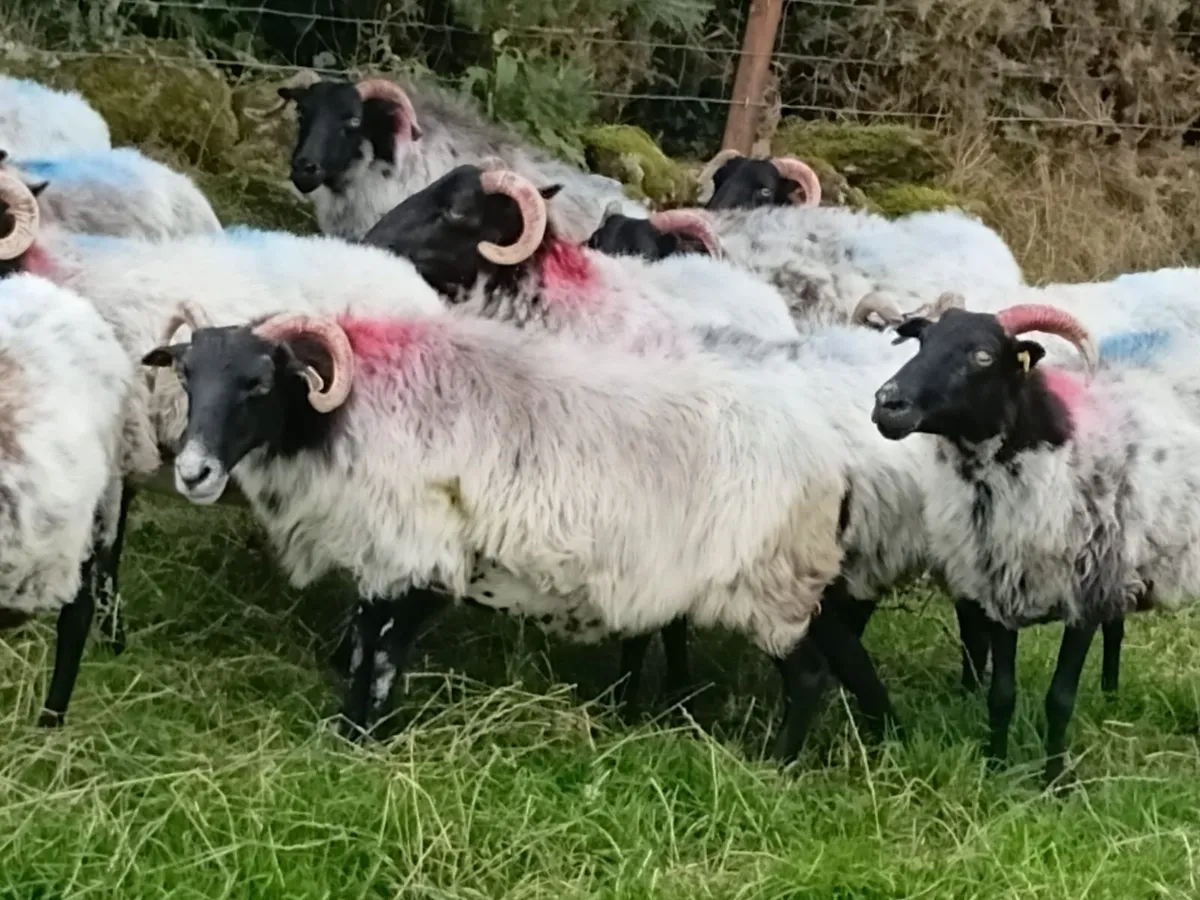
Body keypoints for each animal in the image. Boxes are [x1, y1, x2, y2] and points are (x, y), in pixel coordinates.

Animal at [144, 302, 933, 757]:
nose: (192, 471)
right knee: (840, 653)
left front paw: (363, 741)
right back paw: (882, 735)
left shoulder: (424, 555)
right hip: (799, 580)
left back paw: (777, 763)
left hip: (770, 584)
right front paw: (346, 731)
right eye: (186, 375)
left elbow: (386, 655)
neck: (346, 417)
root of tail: (837, 459)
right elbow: (366, 641)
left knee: (808, 677)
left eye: (258, 383)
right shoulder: (383, 554)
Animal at [870, 302, 1200, 788]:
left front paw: (1054, 782)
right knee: (1117, 627)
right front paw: (995, 767)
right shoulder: (1000, 590)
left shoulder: (1086, 597)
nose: (887, 404)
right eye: (922, 342)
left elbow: (1059, 699)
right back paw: (1110, 693)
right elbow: (1001, 694)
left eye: (983, 356)